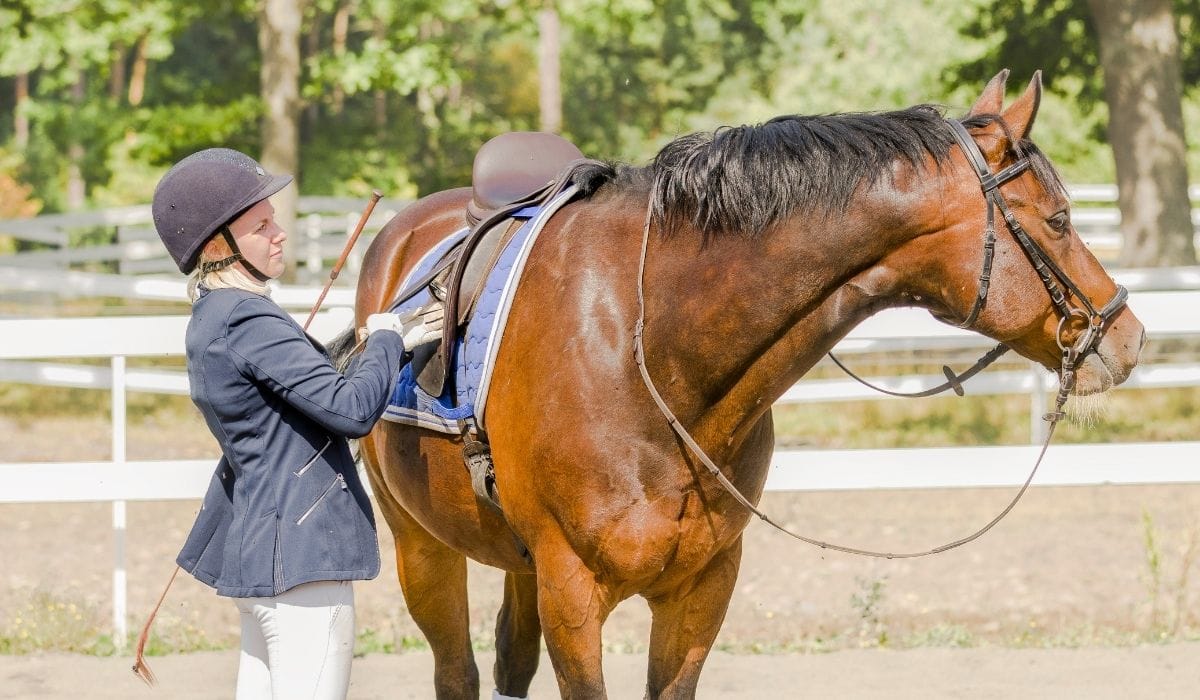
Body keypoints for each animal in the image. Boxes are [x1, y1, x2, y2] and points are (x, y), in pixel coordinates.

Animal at [342, 71, 1145, 698]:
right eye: (1060, 218)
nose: (1128, 335)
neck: (649, 348)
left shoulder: (702, 588)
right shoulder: (572, 593)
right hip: (423, 549)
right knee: (458, 671)